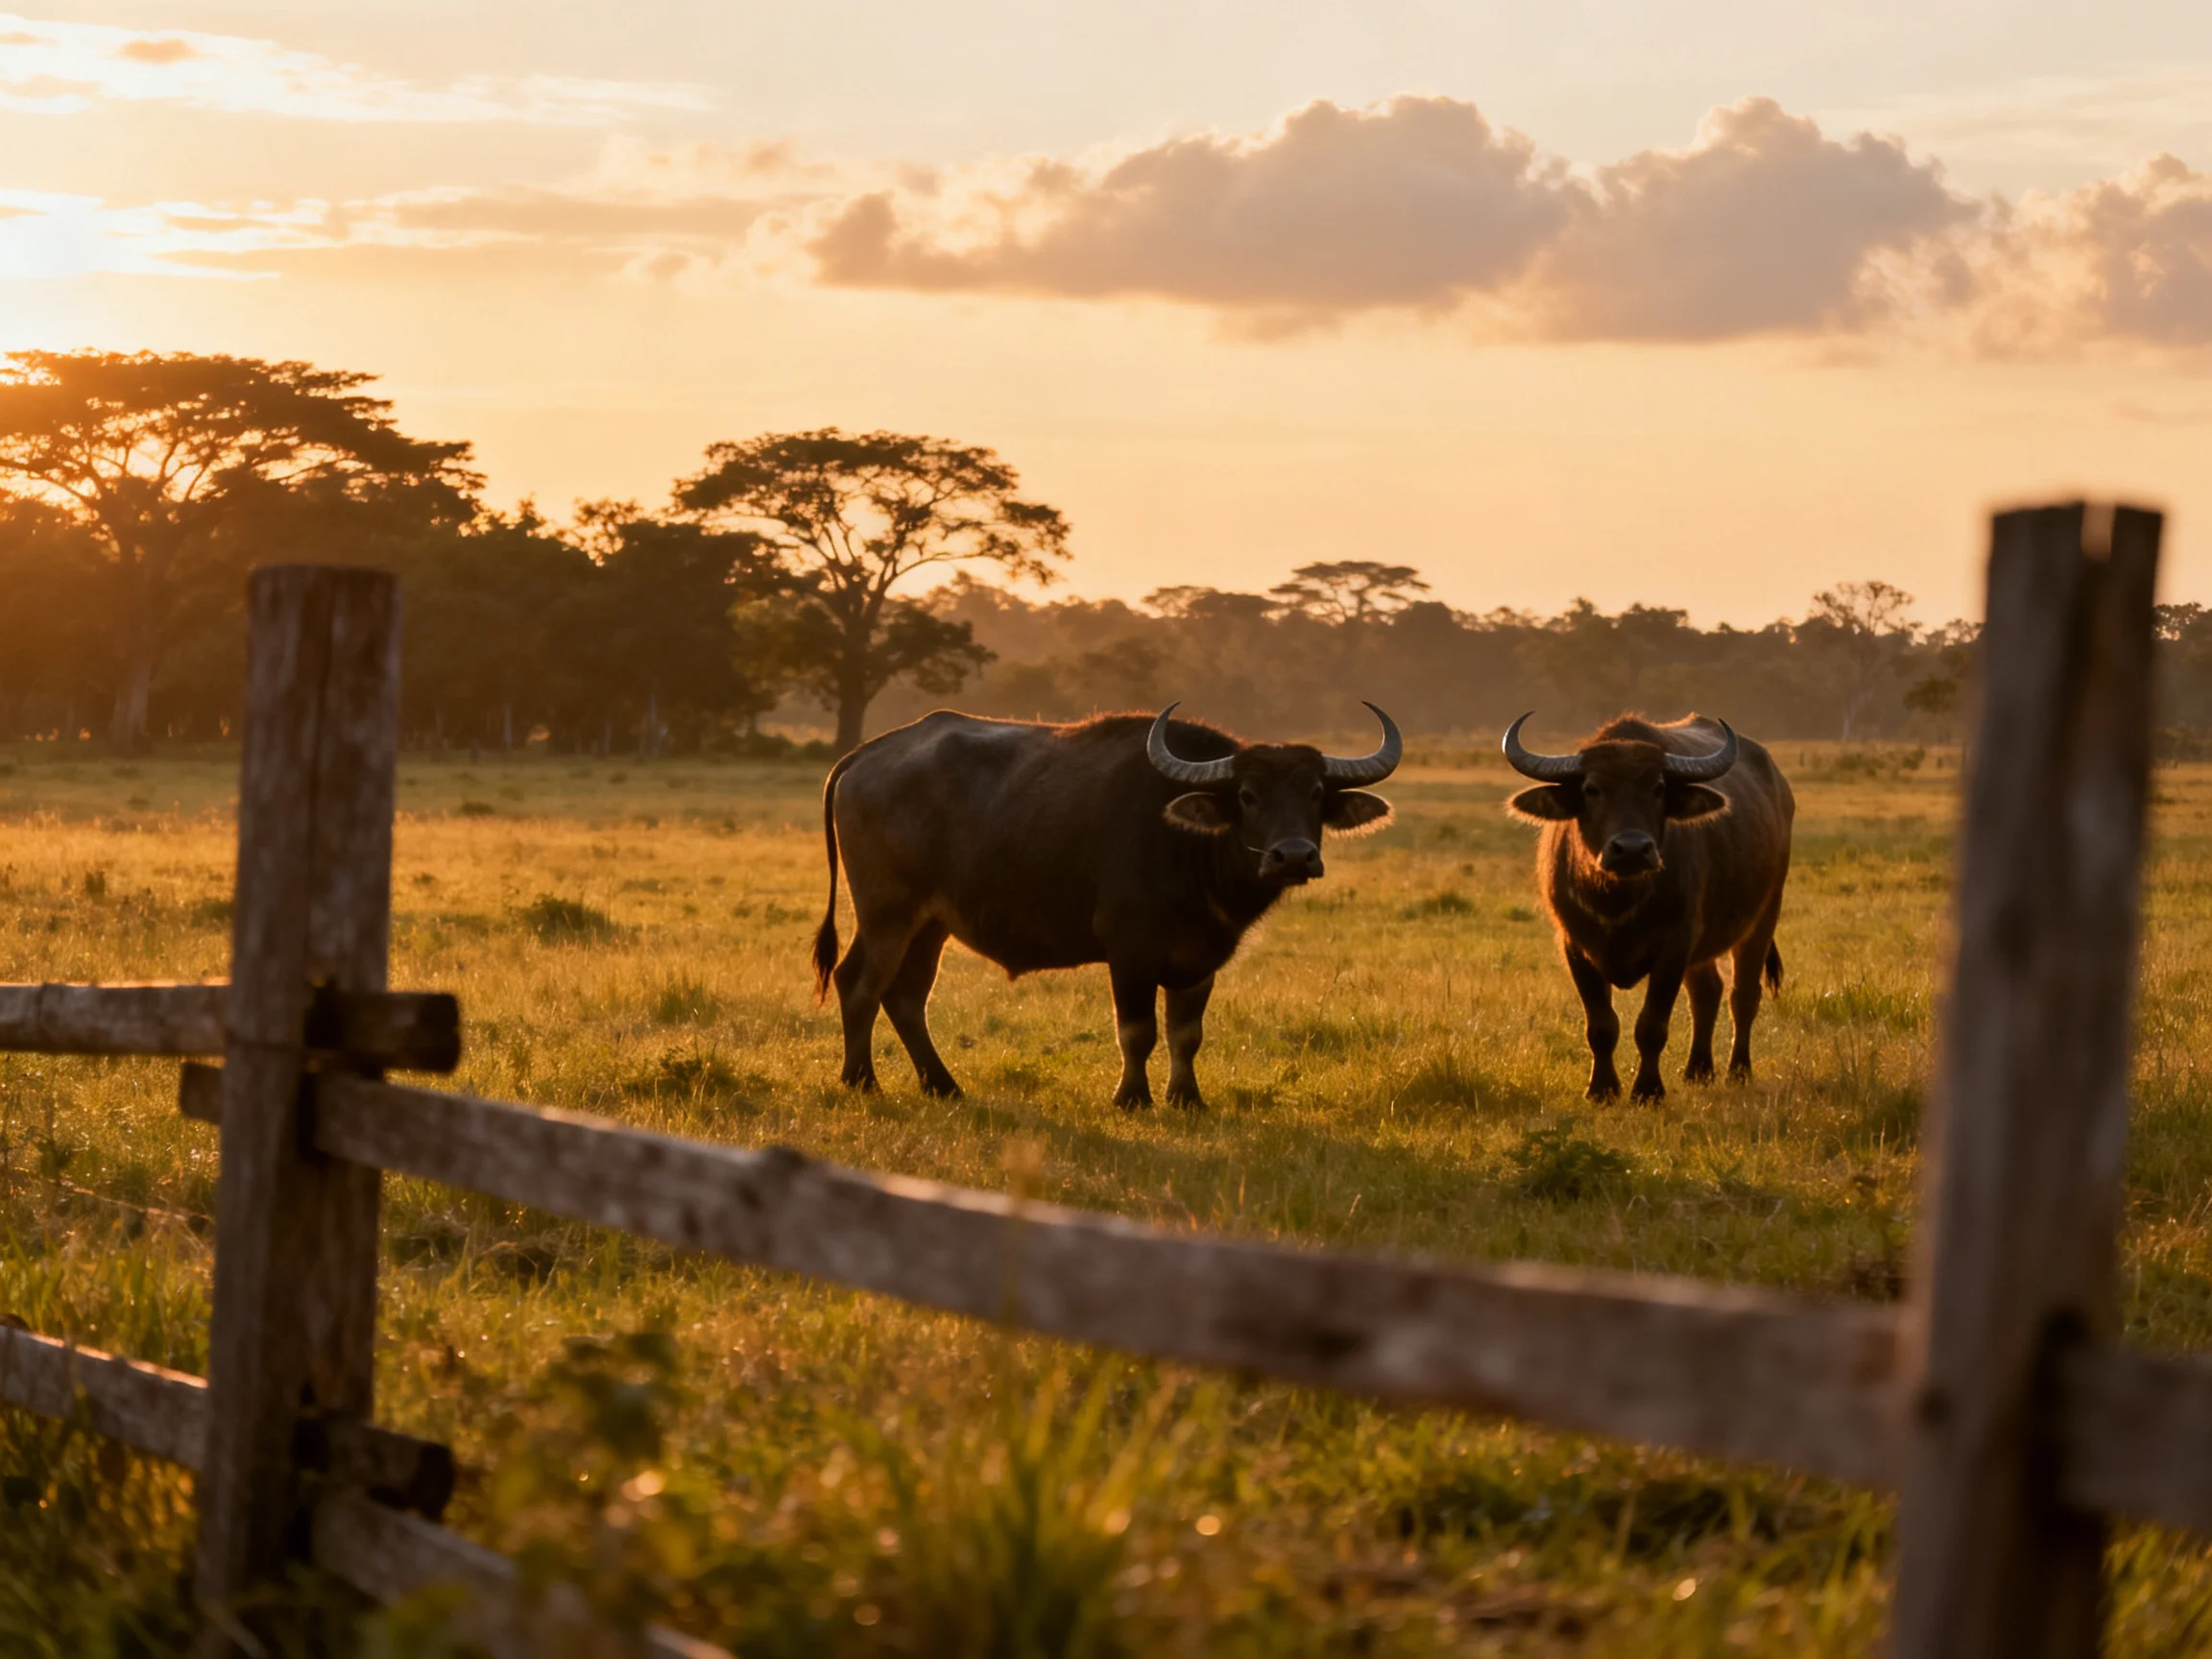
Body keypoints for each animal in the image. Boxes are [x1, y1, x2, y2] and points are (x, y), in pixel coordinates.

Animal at [813, 703, 1401, 1107]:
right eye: (1248, 794)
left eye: (1316, 793)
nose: (1293, 856)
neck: (1186, 842)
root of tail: (866, 755)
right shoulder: (1129, 951)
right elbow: (1136, 1031)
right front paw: (1132, 1098)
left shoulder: (1200, 959)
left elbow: (1186, 1034)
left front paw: (1186, 1099)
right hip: (886, 913)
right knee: (858, 983)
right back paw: (861, 1081)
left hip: (930, 923)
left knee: (907, 997)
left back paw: (942, 1085)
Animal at [1502, 713, 1794, 1101]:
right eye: (1591, 788)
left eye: (1657, 787)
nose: (1632, 849)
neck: (1617, 899)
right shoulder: (1574, 945)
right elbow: (1601, 1025)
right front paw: (1602, 1090)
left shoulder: (1675, 944)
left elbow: (1651, 1026)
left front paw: (1648, 1091)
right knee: (1707, 992)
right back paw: (1698, 1071)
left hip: (1764, 914)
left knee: (1742, 995)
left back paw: (1738, 1071)